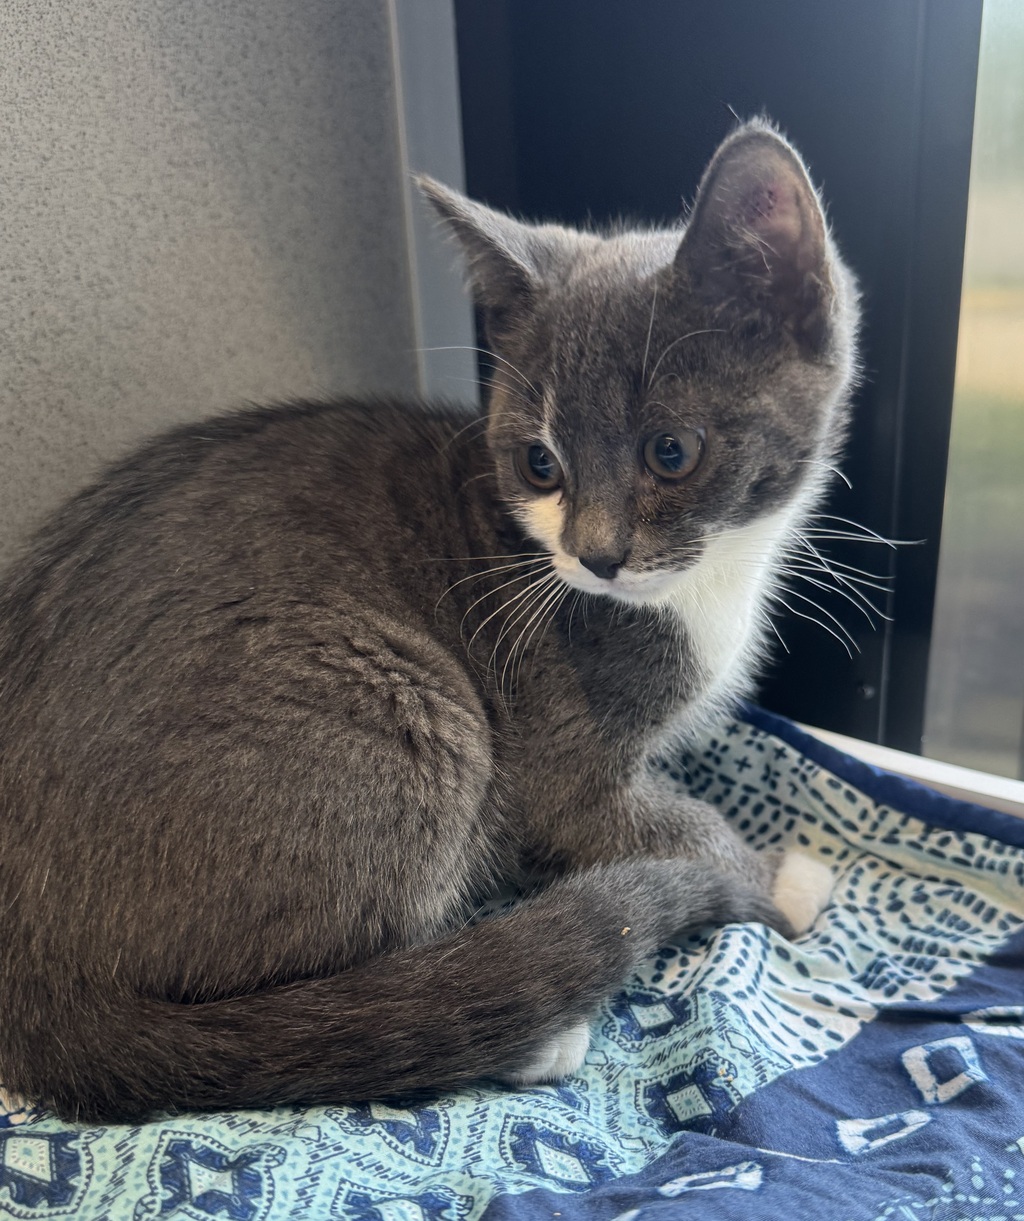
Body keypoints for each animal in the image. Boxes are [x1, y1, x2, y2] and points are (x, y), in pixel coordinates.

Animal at [0, 119, 857, 1123]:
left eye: (672, 451)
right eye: (539, 463)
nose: (595, 556)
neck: (700, 588)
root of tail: (31, 974)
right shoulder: (558, 760)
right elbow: (674, 824)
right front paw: (779, 878)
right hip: (413, 717)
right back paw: (513, 1020)